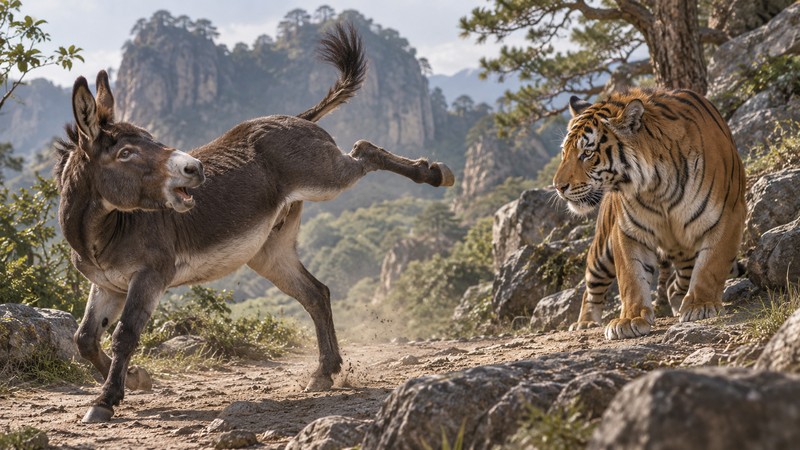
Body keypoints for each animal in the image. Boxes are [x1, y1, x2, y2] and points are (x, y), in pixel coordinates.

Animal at [553, 87, 746, 340]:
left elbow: (711, 266)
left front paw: (700, 305)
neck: (656, 186)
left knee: (677, 282)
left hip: (686, 248)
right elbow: (631, 278)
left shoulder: (727, 216)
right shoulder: (628, 231)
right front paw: (630, 319)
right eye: (564, 152)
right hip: (601, 253)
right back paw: (585, 323)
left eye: (587, 153)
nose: (558, 186)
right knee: (591, 290)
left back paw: (682, 304)